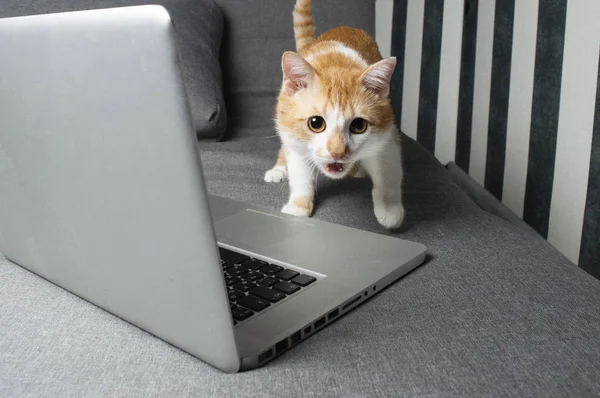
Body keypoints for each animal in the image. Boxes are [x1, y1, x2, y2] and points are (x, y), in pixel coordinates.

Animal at [264, 0, 406, 230]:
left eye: (359, 126)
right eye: (315, 123)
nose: (337, 152)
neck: (335, 61)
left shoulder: (387, 134)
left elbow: (388, 172)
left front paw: (389, 209)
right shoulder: (296, 137)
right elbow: (301, 172)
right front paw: (298, 206)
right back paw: (278, 169)